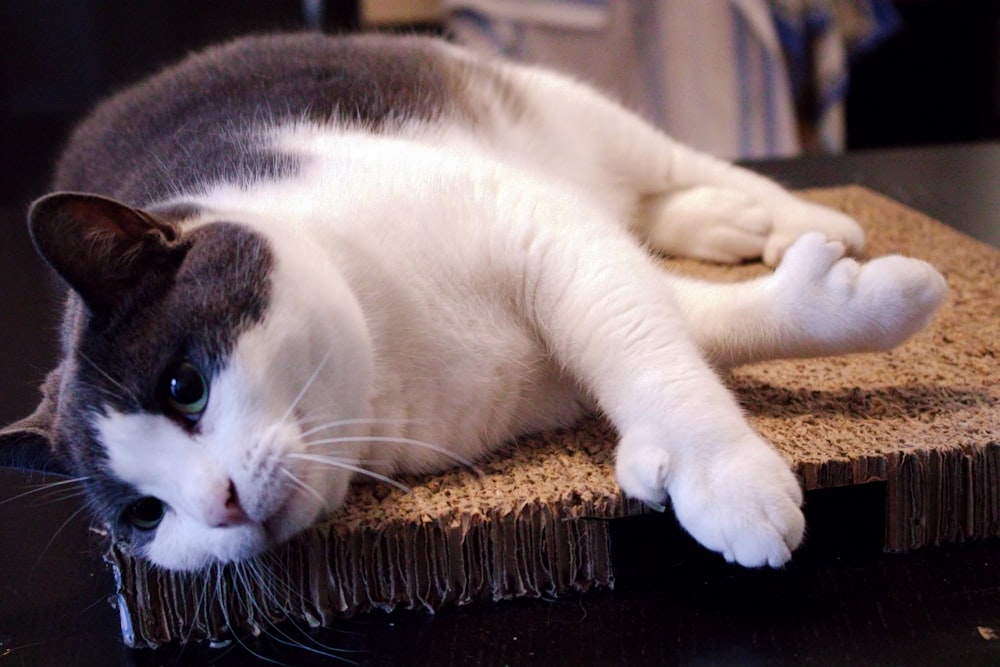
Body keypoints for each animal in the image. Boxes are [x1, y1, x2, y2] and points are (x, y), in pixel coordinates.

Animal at [0, 32, 944, 576]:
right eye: (144, 515)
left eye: (184, 387)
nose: (219, 503)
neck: (393, 357)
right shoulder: (584, 277)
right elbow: (691, 325)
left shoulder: (543, 233)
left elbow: (649, 354)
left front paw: (725, 477)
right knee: (651, 214)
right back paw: (725, 225)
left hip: (569, 112)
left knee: (683, 166)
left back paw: (801, 215)